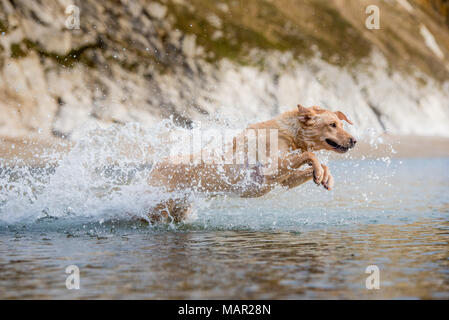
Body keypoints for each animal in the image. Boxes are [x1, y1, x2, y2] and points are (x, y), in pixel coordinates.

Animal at [145, 105, 356, 222]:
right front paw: (319, 172)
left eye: (342, 124)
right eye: (332, 125)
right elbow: (310, 155)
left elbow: (316, 164)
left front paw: (325, 177)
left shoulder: (283, 180)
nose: (354, 140)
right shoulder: (269, 171)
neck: (290, 134)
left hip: (180, 208)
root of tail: (154, 166)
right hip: (158, 206)